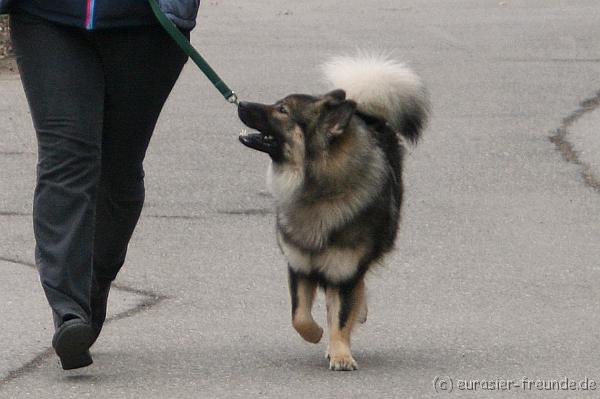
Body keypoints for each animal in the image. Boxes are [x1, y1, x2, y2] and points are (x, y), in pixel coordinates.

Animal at [237, 54, 428, 370]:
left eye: (282, 110)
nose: (240, 103)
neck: (319, 192)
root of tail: (365, 113)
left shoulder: (343, 270)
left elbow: (340, 315)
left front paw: (340, 353)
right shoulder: (299, 265)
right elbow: (299, 316)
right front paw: (316, 335)